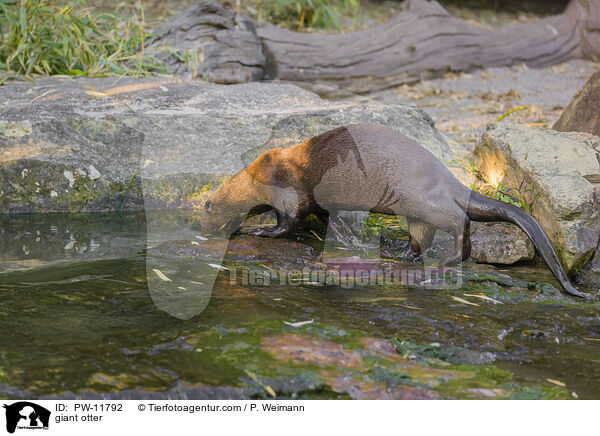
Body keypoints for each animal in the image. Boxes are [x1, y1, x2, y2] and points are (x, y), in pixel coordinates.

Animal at [199, 124, 584, 298]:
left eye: (208, 213)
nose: (204, 230)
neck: (260, 177)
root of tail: (450, 180)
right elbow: (326, 217)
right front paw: (348, 238)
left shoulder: (288, 191)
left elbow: (289, 221)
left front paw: (261, 230)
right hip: (415, 214)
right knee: (420, 238)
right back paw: (397, 251)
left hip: (423, 200)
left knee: (458, 221)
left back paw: (448, 258)